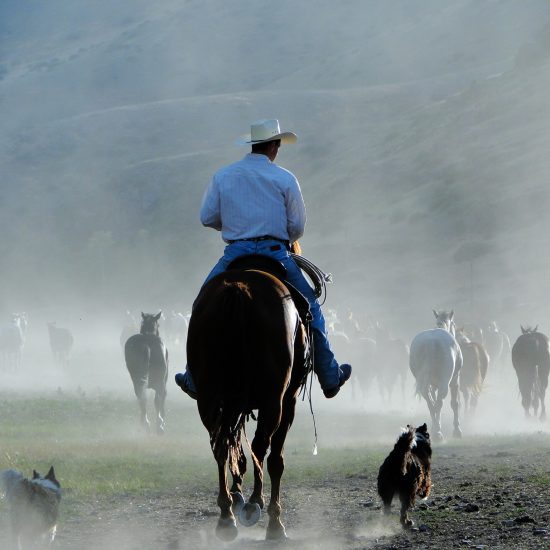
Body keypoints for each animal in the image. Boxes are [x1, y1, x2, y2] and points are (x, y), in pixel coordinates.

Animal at [188, 264, 310, 544]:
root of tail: (239, 289)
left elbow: (237, 453)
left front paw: (236, 494)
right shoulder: (288, 401)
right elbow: (274, 459)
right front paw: (274, 521)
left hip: (210, 399)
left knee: (221, 448)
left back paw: (226, 517)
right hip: (274, 401)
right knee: (261, 446)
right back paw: (255, 505)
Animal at [410, 312, 466, 442]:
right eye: (454, 324)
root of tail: (430, 343)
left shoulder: (432, 384)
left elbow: (433, 400)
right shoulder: (455, 380)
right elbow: (454, 403)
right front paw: (457, 430)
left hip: (425, 383)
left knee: (430, 403)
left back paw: (435, 428)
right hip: (445, 383)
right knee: (439, 403)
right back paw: (437, 432)